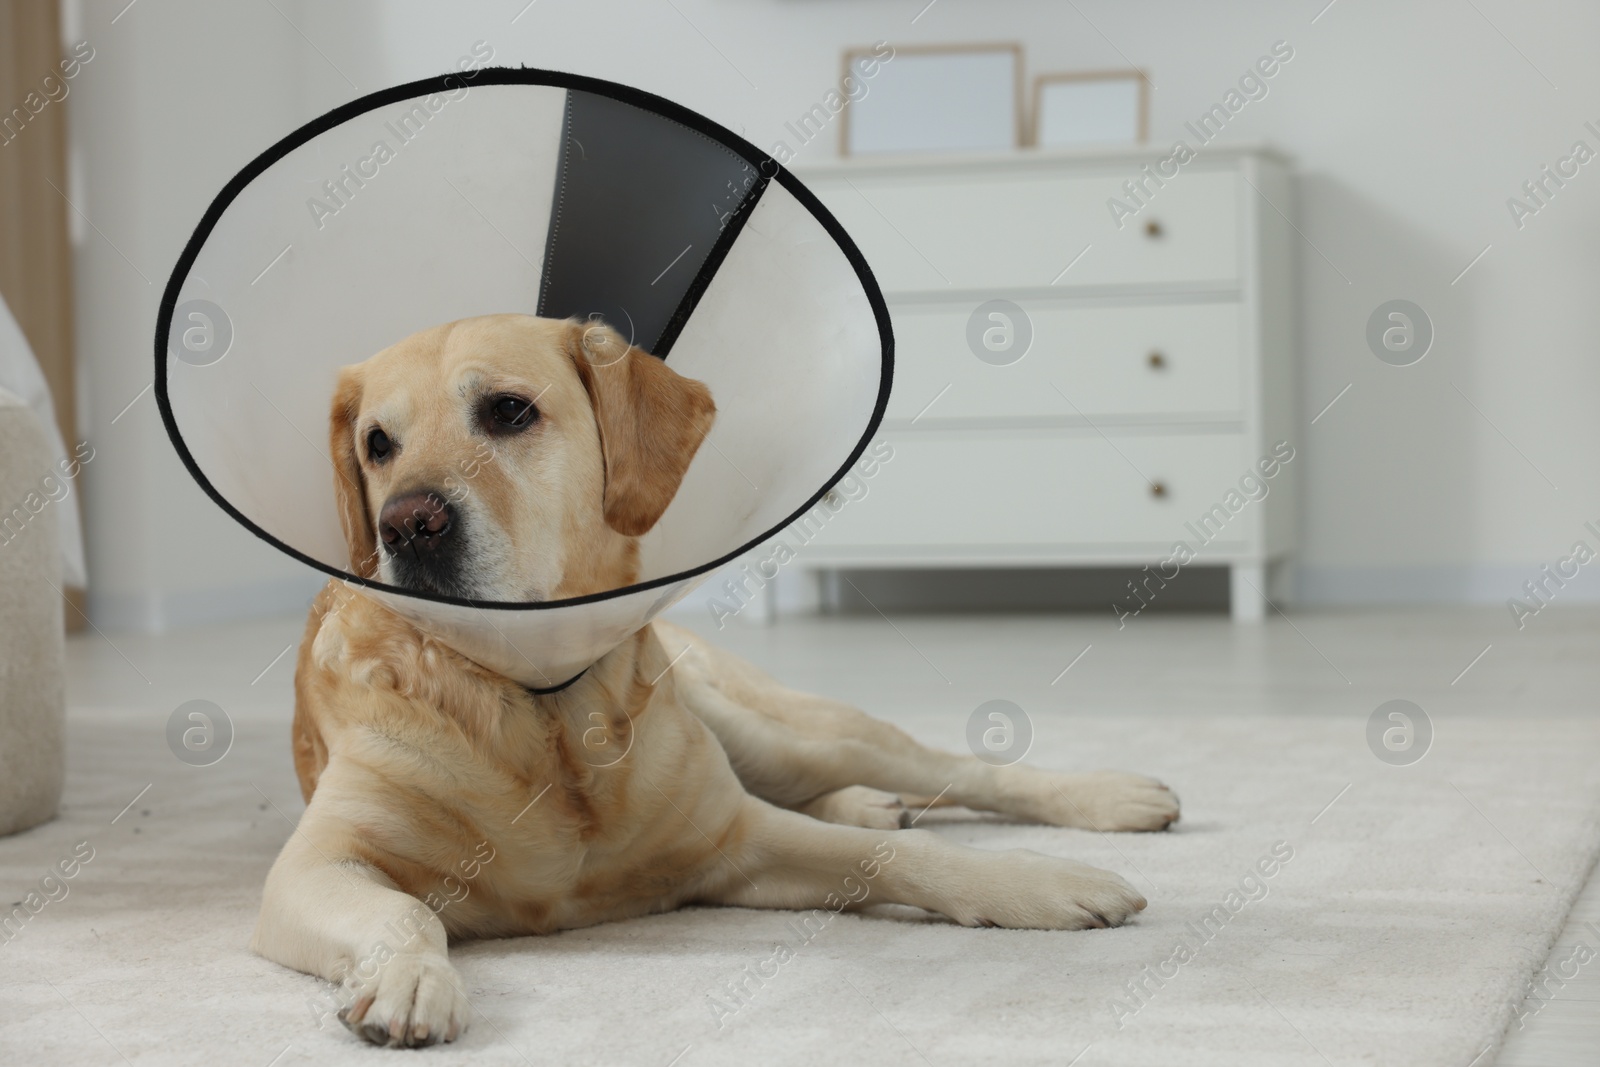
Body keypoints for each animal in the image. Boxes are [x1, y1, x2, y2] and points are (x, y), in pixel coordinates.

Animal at [249, 316, 1177, 1049]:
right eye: (378, 444)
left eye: (508, 410)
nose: (407, 524)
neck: (544, 704)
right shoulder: (316, 865)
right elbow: (406, 911)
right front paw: (413, 978)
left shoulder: (737, 838)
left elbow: (908, 855)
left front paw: (1043, 882)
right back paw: (870, 801)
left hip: (787, 735)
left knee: (949, 767)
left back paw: (1112, 795)